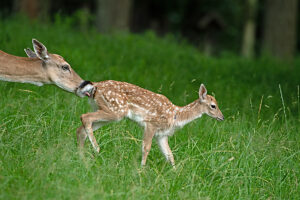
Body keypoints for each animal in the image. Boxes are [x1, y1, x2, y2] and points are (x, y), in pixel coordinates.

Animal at [76, 80, 224, 167]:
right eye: (213, 106)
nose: (222, 117)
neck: (175, 115)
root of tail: (96, 85)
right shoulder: (151, 124)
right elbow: (146, 147)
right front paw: (142, 169)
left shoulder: (162, 135)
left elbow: (170, 155)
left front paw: (176, 173)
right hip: (116, 111)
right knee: (85, 117)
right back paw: (96, 149)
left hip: (105, 110)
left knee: (82, 127)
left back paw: (82, 155)